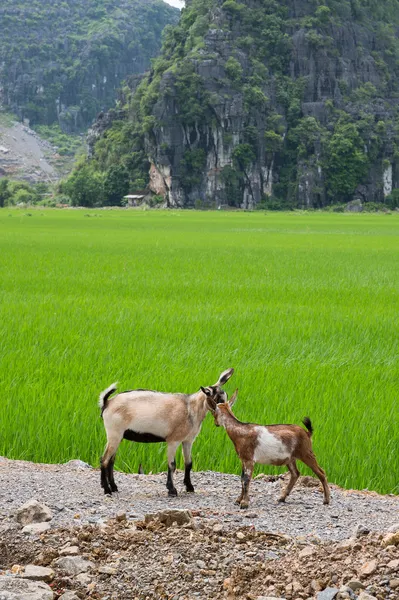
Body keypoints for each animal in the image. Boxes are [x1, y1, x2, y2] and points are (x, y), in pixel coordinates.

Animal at [99, 370, 234, 496]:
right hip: (114, 433)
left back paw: (114, 487)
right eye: (217, 400)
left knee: (111, 460)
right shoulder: (173, 440)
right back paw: (107, 489)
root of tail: (107, 403)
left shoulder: (188, 440)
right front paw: (172, 490)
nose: (227, 416)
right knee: (104, 459)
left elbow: (188, 463)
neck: (191, 408)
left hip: (118, 436)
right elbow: (172, 465)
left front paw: (189, 487)